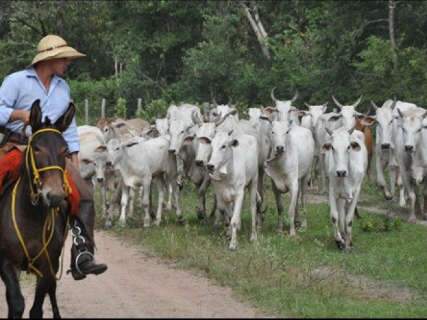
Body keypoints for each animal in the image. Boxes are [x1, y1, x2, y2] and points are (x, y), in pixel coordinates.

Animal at [0, 99, 76, 318]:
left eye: (65, 150)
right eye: (36, 148)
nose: (55, 195)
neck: (31, 217)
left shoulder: (48, 266)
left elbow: (36, 309)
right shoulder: (7, 263)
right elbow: (16, 303)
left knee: (52, 291)